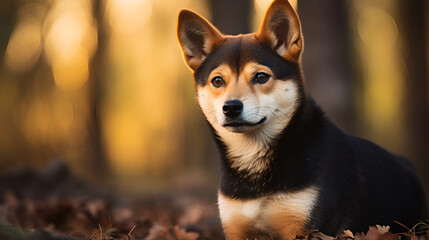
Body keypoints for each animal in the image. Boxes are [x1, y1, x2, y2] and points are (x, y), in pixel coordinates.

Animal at [176, 0, 426, 239]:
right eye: (217, 81)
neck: (254, 160)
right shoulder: (236, 227)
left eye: (261, 77)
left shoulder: (302, 226)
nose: (231, 107)